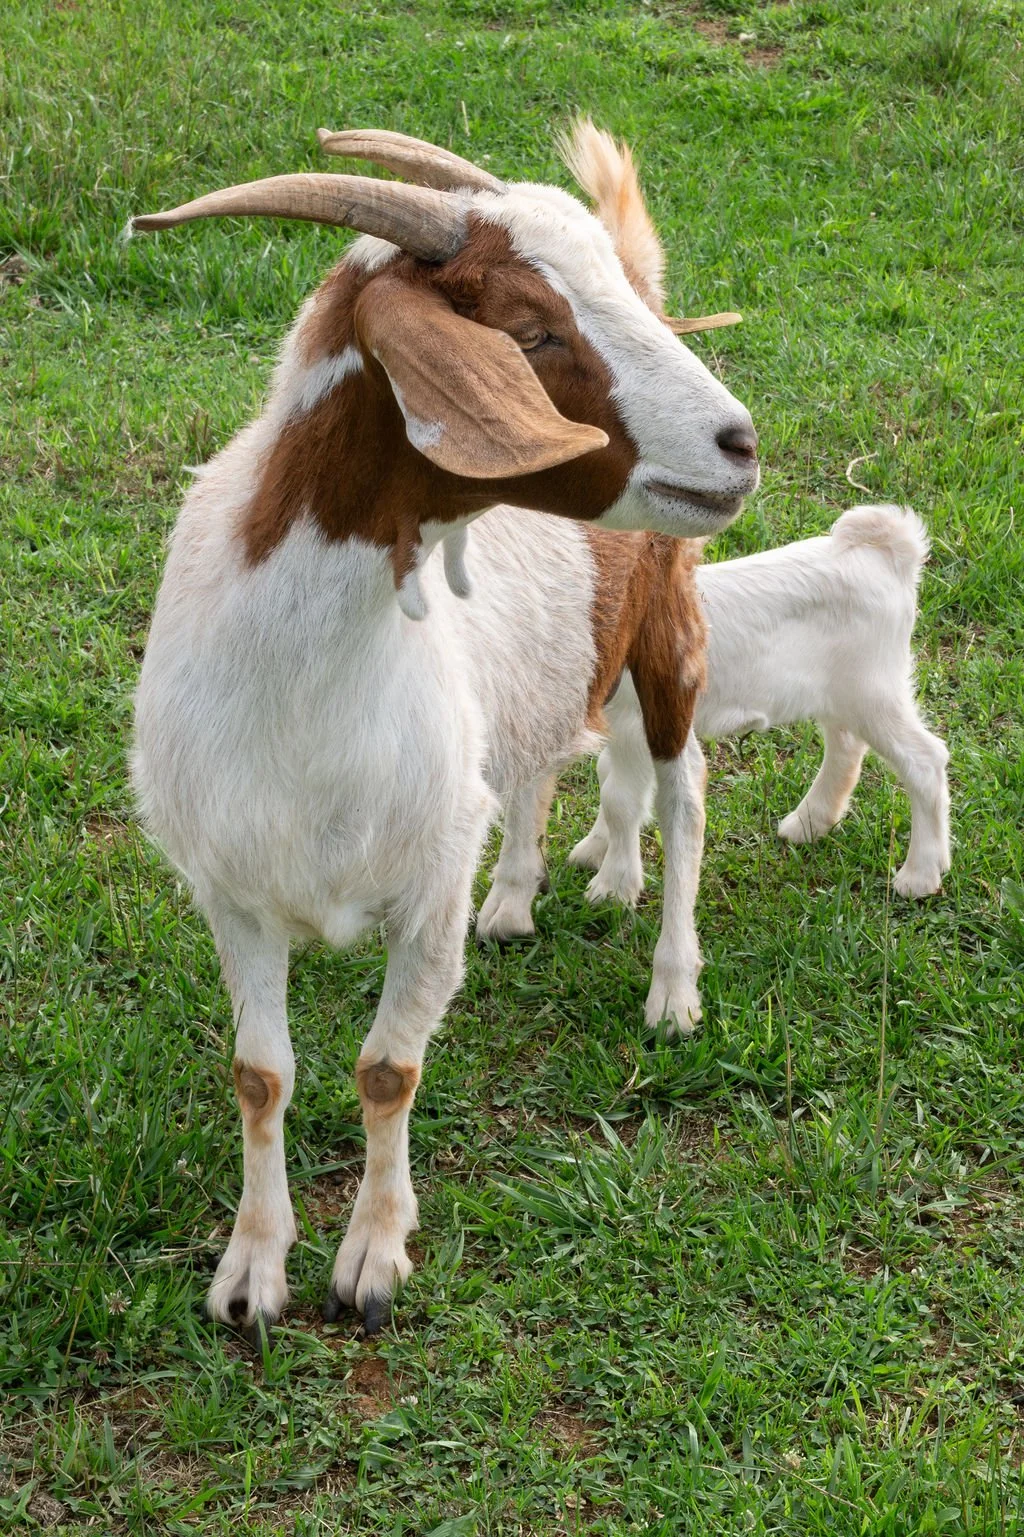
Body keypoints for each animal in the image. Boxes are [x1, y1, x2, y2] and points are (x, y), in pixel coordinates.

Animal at [129, 123, 759, 1336]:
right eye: (530, 330)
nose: (738, 442)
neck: (305, 692)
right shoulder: (233, 888)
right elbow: (260, 1074)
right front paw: (252, 1271)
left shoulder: (425, 889)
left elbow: (387, 1069)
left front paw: (372, 1259)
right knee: (543, 762)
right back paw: (519, 896)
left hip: (669, 628)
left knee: (684, 791)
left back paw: (672, 986)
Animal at [487, 505, 951, 931]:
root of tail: (888, 553)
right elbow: (610, 781)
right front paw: (594, 851)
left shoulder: (640, 725)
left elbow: (620, 798)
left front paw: (612, 889)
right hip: (840, 694)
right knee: (846, 745)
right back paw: (810, 822)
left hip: (874, 690)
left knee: (925, 759)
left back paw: (920, 875)